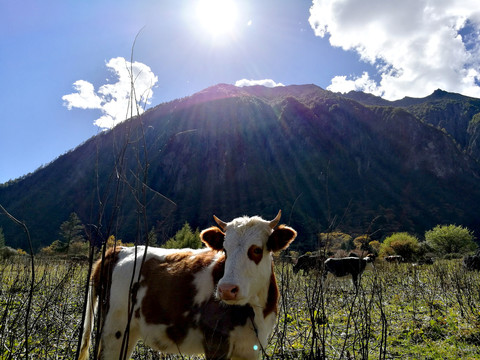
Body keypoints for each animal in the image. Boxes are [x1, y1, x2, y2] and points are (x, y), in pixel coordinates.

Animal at [79, 211, 296, 360]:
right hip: (113, 330)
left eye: (257, 250)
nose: (226, 289)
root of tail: (118, 250)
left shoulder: (253, 349)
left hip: (126, 334)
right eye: (225, 249)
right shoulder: (216, 342)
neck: (255, 310)